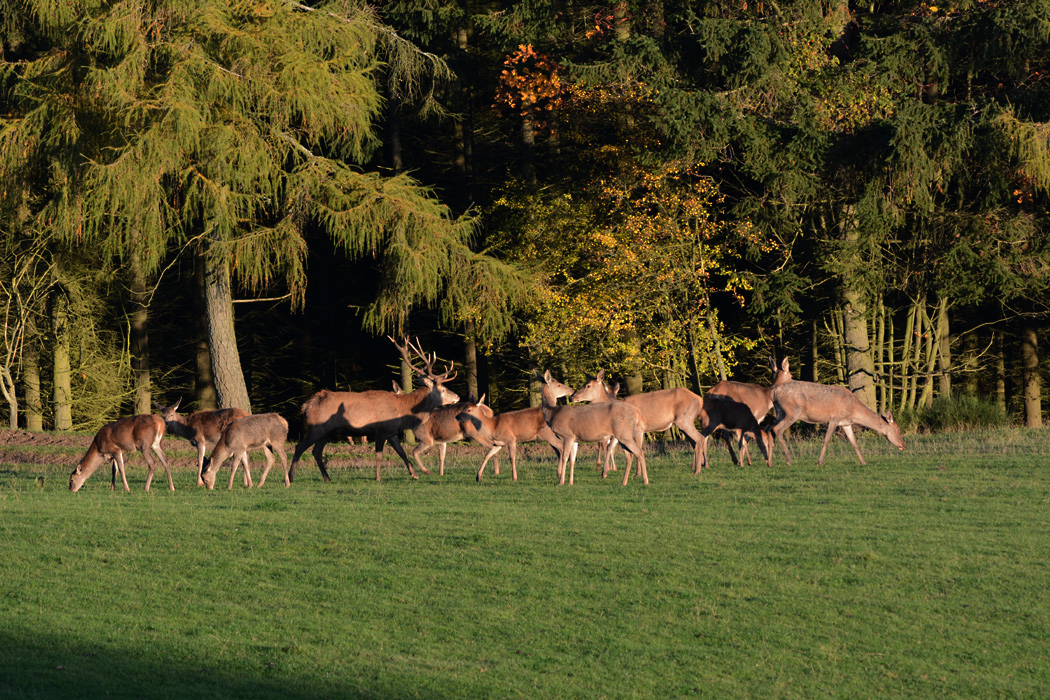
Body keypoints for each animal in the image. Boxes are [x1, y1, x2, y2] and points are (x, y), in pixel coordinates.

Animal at [294, 337, 461, 482]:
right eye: (443, 389)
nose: (458, 397)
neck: (402, 411)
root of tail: (307, 405)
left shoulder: (392, 432)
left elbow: (402, 453)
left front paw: (415, 474)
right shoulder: (381, 429)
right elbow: (379, 455)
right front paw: (378, 478)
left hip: (325, 432)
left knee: (316, 452)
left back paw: (327, 478)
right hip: (316, 428)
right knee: (300, 447)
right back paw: (291, 476)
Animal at [567, 371, 705, 476]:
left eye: (588, 385)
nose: (572, 396)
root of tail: (700, 400)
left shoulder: (639, 428)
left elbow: (637, 448)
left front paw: (637, 473)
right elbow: (611, 447)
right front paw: (604, 472)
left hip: (684, 419)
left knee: (699, 438)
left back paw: (698, 470)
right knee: (697, 440)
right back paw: (699, 466)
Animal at [768, 379, 907, 468]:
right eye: (898, 429)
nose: (904, 445)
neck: (853, 410)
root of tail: (773, 391)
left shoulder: (846, 423)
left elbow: (854, 443)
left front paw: (863, 462)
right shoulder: (834, 418)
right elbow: (827, 439)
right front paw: (820, 462)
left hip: (779, 411)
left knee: (769, 428)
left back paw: (769, 462)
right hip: (793, 412)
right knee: (777, 429)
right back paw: (788, 459)